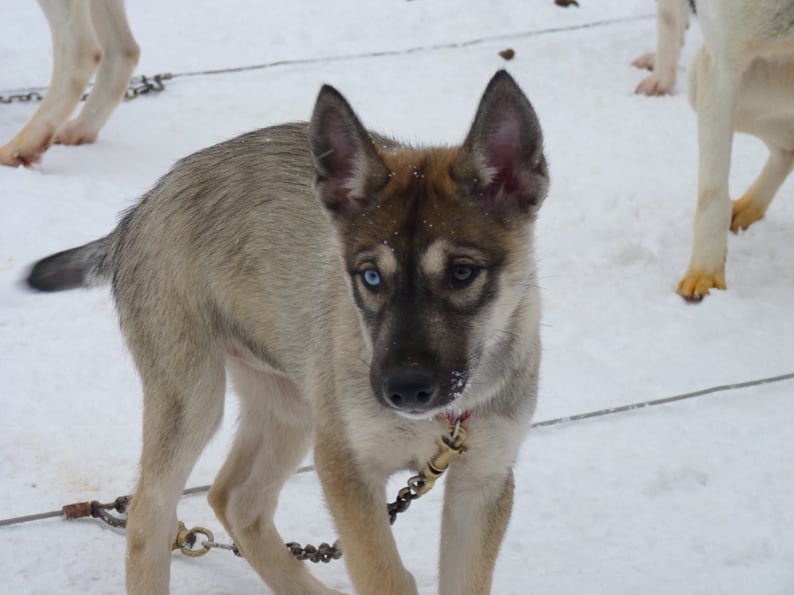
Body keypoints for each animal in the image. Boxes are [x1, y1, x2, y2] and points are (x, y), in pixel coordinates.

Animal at [26, 70, 548, 594]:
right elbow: (384, 576)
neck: (446, 420)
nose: (404, 391)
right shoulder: (347, 468)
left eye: (462, 273)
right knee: (148, 517)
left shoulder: (483, 481)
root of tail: (137, 213)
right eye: (370, 276)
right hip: (194, 399)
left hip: (291, 403)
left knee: (234, 498)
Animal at [676, 0, 794, 300]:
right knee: (786, 150)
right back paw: (746, 208)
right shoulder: (722, 66)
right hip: (702, 82)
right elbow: (713, 195)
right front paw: (705, 275)